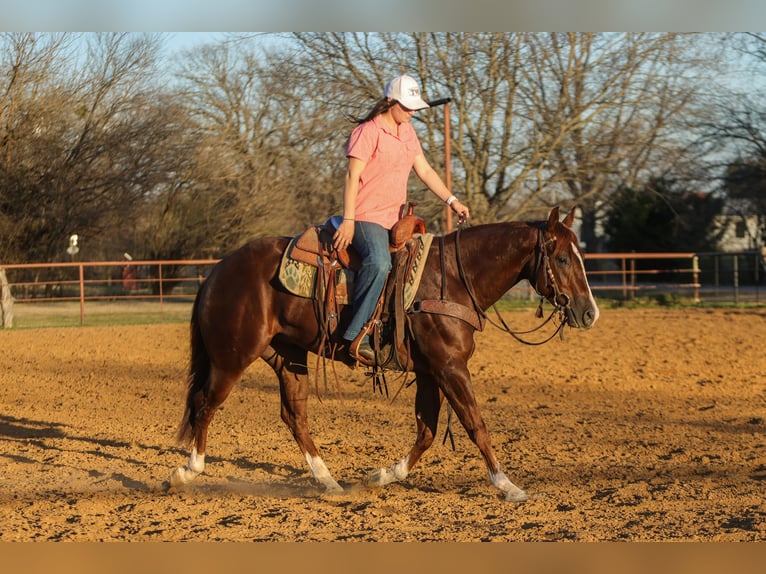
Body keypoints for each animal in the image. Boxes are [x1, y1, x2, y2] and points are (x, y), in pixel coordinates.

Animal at [166, 206, 599, 501]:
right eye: (562, 258)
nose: (589, 312)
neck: (453, 279)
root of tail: (218, 271)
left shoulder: (429, 372)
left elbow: (426, 432)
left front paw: (382, 475)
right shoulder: (450, 367)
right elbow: (475, 424)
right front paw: (507, 486)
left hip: (288, 357)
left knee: (294, 416)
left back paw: (327, 480)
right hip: (232, 357)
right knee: (205, 404)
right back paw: (187, 471)